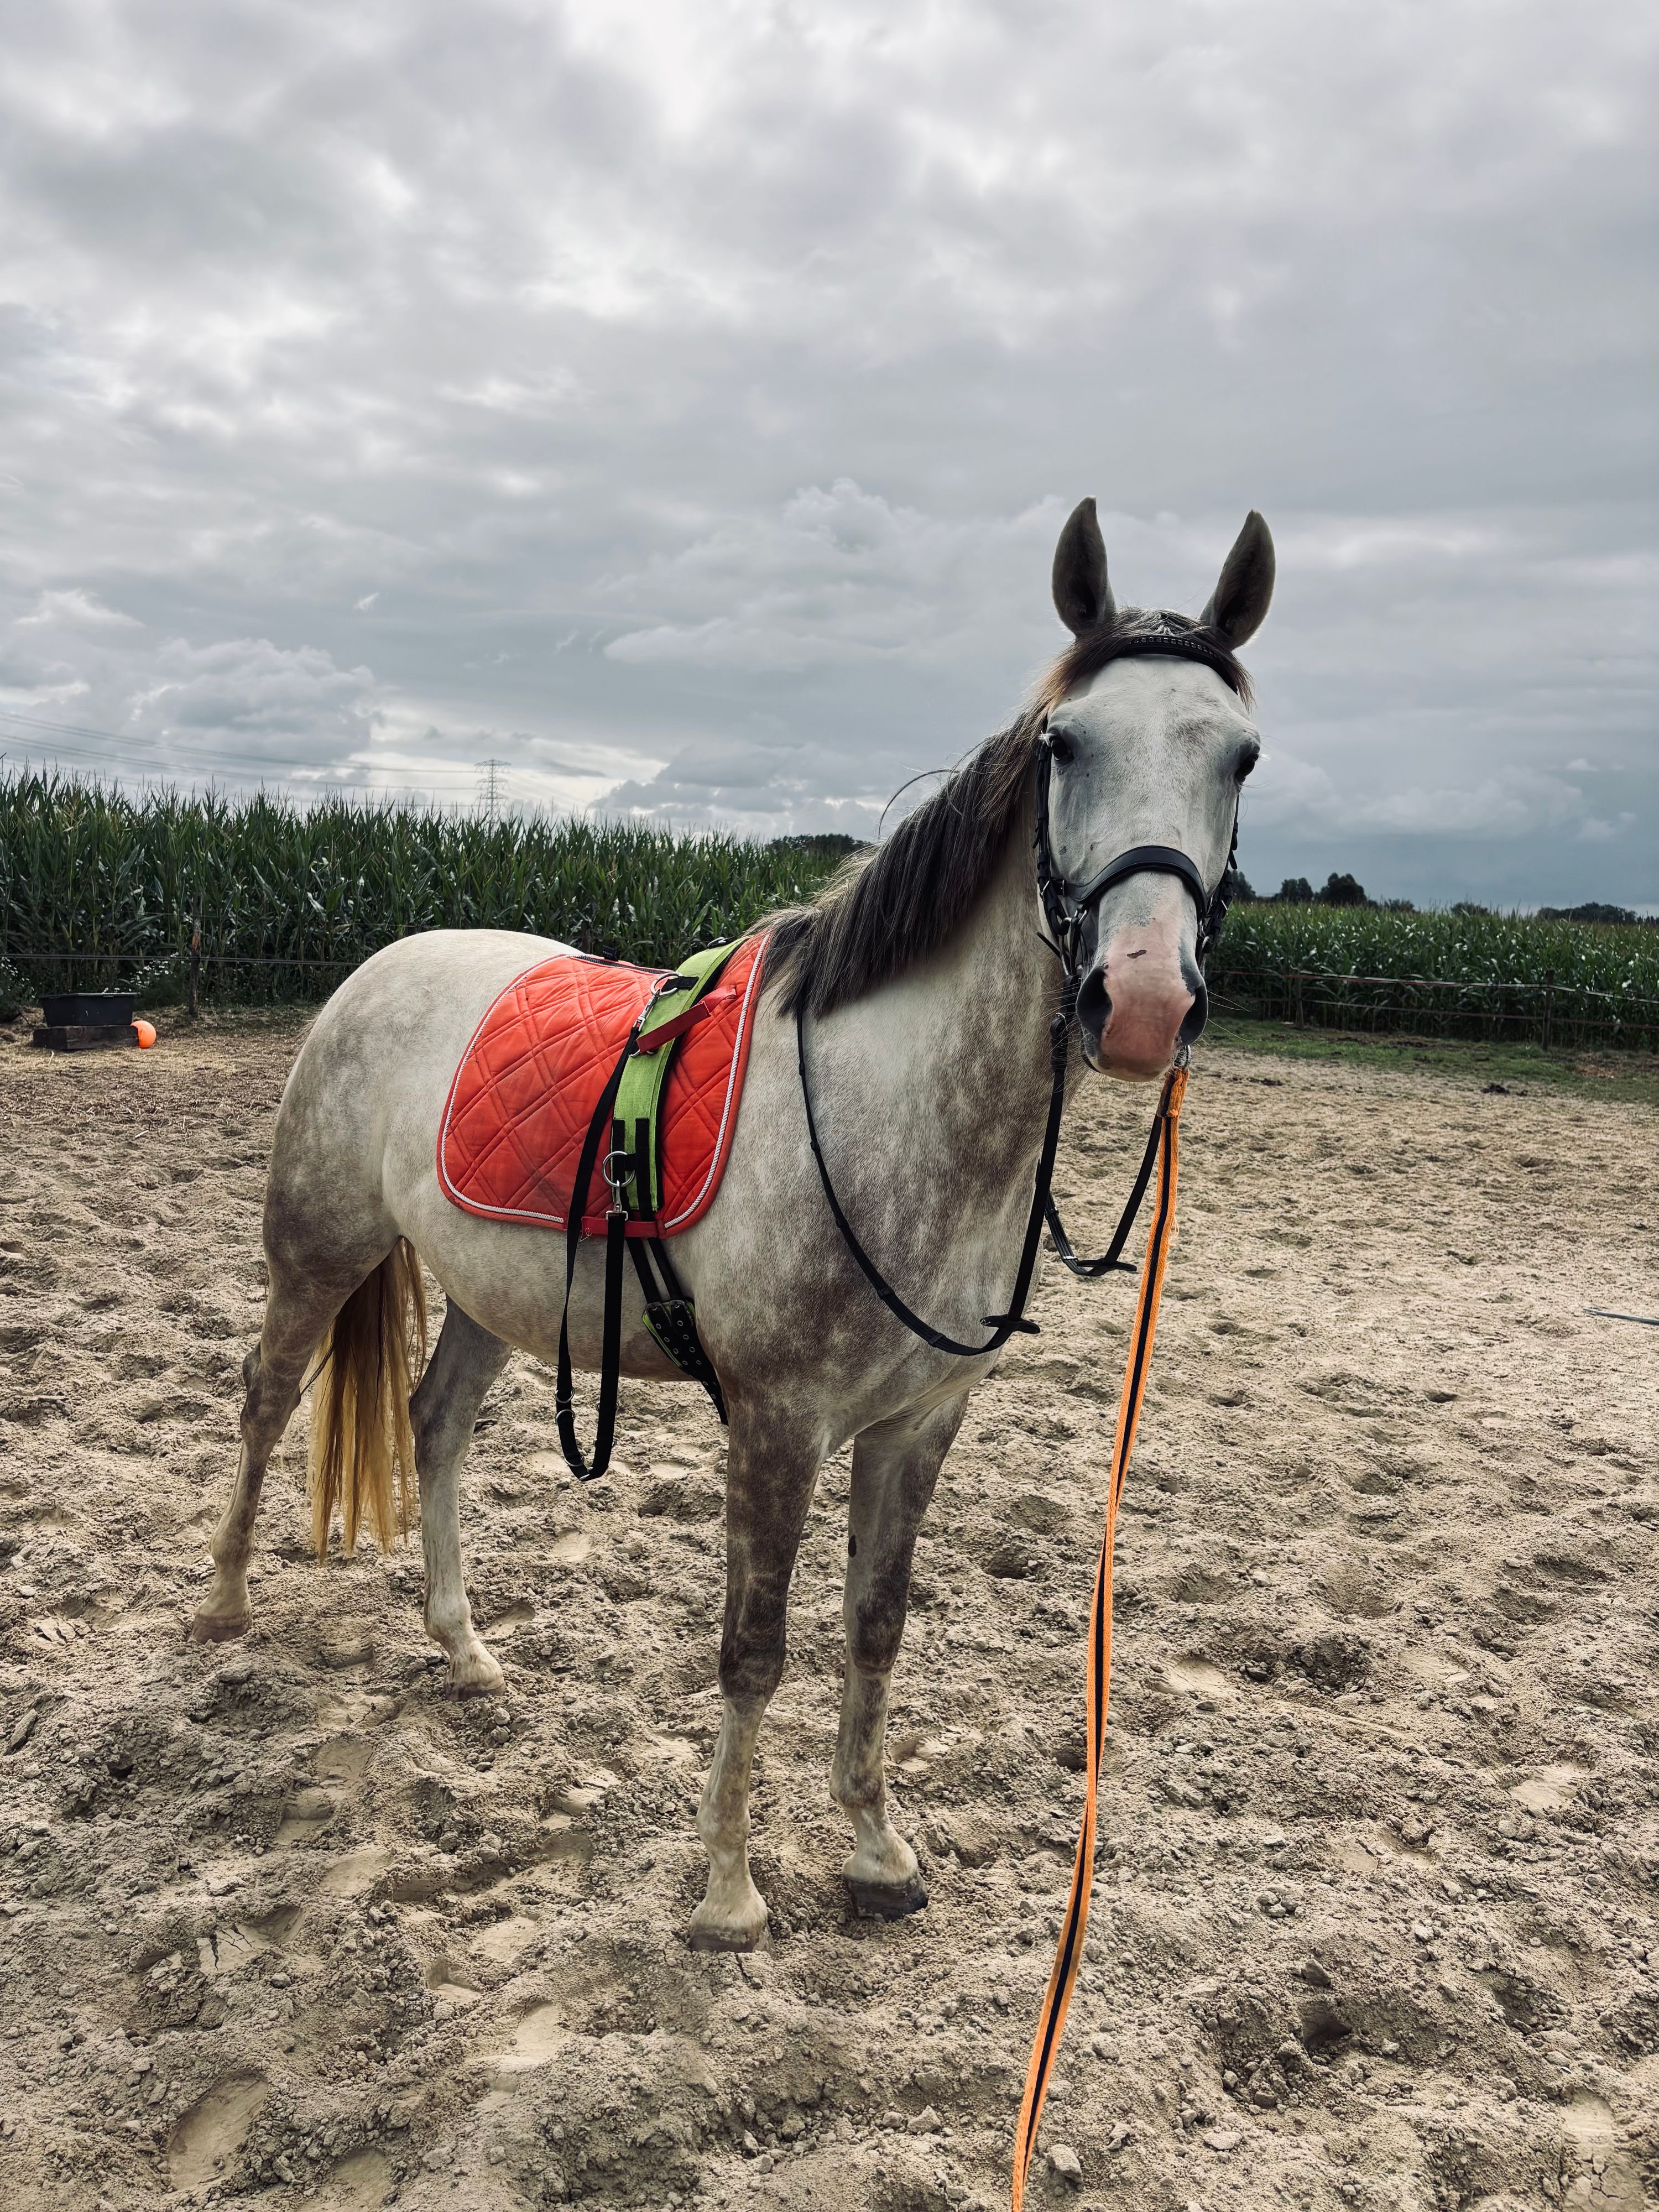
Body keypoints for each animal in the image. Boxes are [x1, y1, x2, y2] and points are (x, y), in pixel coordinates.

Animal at [191, 496, 1273, 1953]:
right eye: (1064, 741)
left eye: (1240, 754)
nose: (1142, 1000)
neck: (890, 1106)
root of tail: (383, 963)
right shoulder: (777, 1422)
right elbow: (753, 1646)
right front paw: (724, 1890)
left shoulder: (917, 1423)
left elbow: (874, 1626)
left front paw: (876, 1849)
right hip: (317, 1247)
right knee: (264, 1396)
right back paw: (226, 1607)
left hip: (491, 1294)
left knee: (434, 1422)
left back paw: (464, 1646)